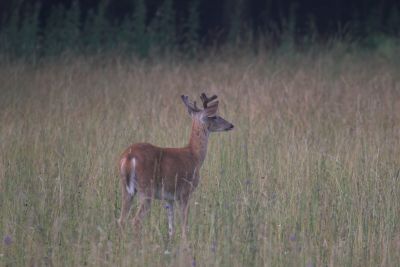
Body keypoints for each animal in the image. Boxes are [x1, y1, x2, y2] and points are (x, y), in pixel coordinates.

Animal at [117, 93, 233, 240]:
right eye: (215, 116)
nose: (231, 125)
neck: (194, 155)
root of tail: (128, 157)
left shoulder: (169, 198)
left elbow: (171, 226)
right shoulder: (185, 192)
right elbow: (184, 224)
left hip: (126, 190)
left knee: (121, 220)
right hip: (146, 189)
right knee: (135, 220)